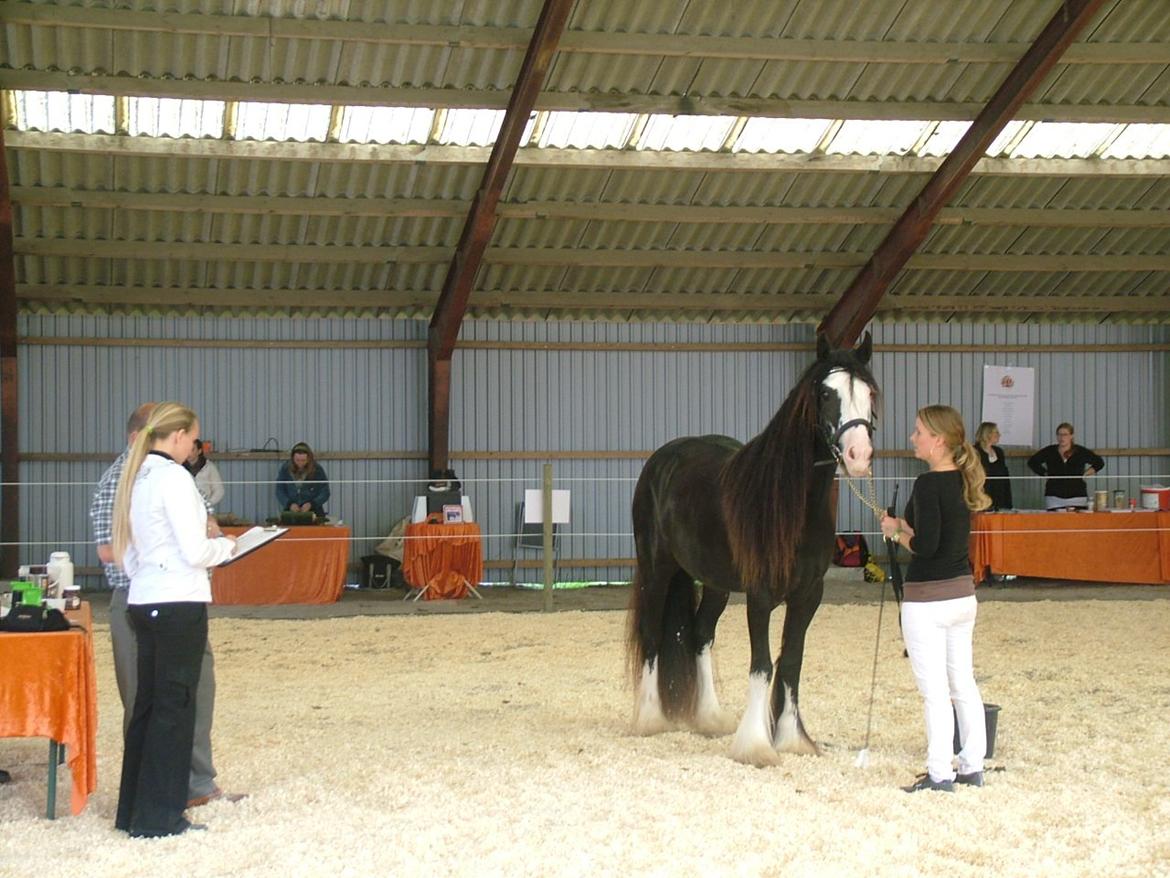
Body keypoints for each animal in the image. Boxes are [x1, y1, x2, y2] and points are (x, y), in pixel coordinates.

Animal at [627, 332, 875, 767]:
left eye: (868, 392)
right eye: (826, 393)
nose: (858, 456)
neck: (791, 505)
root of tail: (662, 461)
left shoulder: (808, 594)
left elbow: (790, 661)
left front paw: (791, 739)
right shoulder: (760, 596)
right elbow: (761, 664)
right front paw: (756, 746)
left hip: (715, 583)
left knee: (700, 634)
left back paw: (709, 718)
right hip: (657, 570)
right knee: (653, 635)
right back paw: (649, 719)